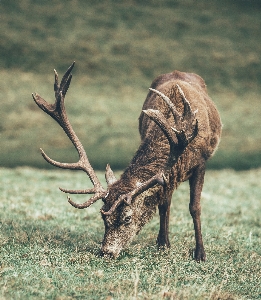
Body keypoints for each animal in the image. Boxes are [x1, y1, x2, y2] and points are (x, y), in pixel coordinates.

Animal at [31, 61, 220, 262]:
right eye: (103, 217)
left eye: (127, 218)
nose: (106, 252)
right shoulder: (167, 176)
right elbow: (163, 204)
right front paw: (163, 245)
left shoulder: (201, 162)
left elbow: (195, 207)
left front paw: (200, 253)